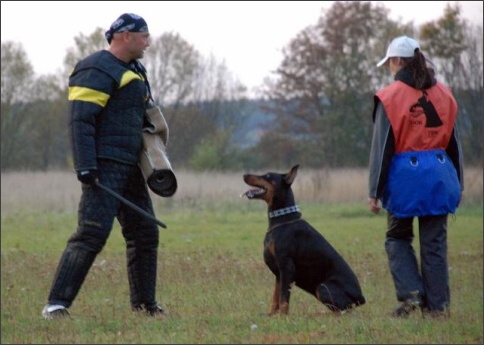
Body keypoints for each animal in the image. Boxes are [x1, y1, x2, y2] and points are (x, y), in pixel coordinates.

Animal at [244, 165, 364, 314]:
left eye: (267, 176)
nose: (244, 175)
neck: (282, 220)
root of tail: (361, 298)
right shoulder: (279, 273)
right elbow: (275, 299)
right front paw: (271, 316)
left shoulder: (287, 267)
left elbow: (283, 299)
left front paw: (283, 317)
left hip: (322, 287)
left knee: (342, 311)